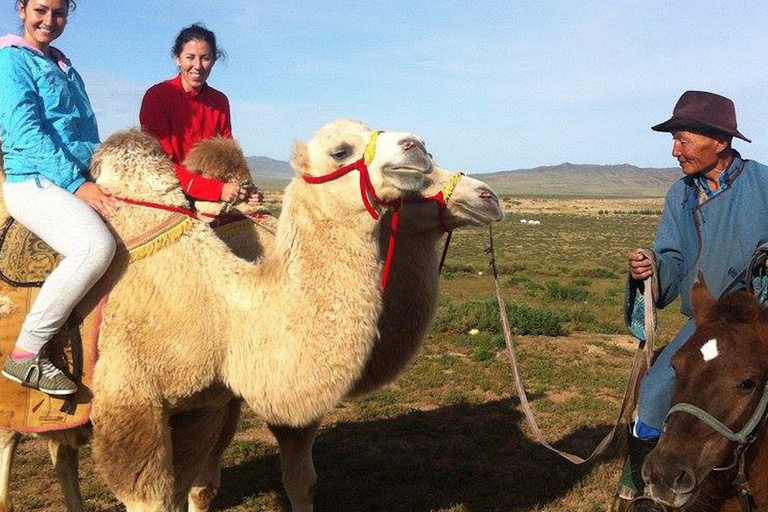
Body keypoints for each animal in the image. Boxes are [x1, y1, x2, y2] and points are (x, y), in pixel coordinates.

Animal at [0, 121, 432, 512]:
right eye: (341, 150)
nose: (418, 145)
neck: (220, 309)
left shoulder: (199, 408)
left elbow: (190, 489)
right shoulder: (131, 402)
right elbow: (151, 499)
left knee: (61, 449)